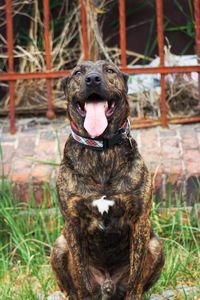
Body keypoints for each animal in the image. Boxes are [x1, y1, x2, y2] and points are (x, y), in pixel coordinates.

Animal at [50, 59, 165, 298]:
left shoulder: (140, 221)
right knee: (72, 288)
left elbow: (135, 276)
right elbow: (81, 276)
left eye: (110, 70)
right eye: (77, 72)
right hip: (59, 245)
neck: (101, 150)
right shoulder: (72, 225)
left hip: (157, 246)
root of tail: (107, 285)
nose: (92, 79)